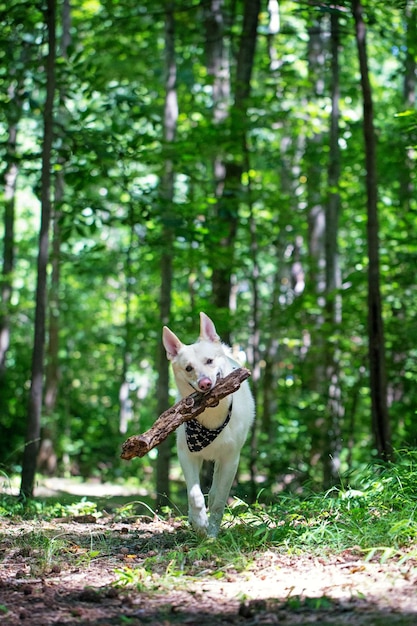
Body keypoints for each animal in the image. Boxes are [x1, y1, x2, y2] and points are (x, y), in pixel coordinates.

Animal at [162, 310, 254, 532]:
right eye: (188, 368)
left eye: (210, 361)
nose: (204, 383)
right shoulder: (186, 455)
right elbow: (194, 495)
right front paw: (200, 524)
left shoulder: (231, 460)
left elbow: (219, 499)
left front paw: (212, 532)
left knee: (214, 494)